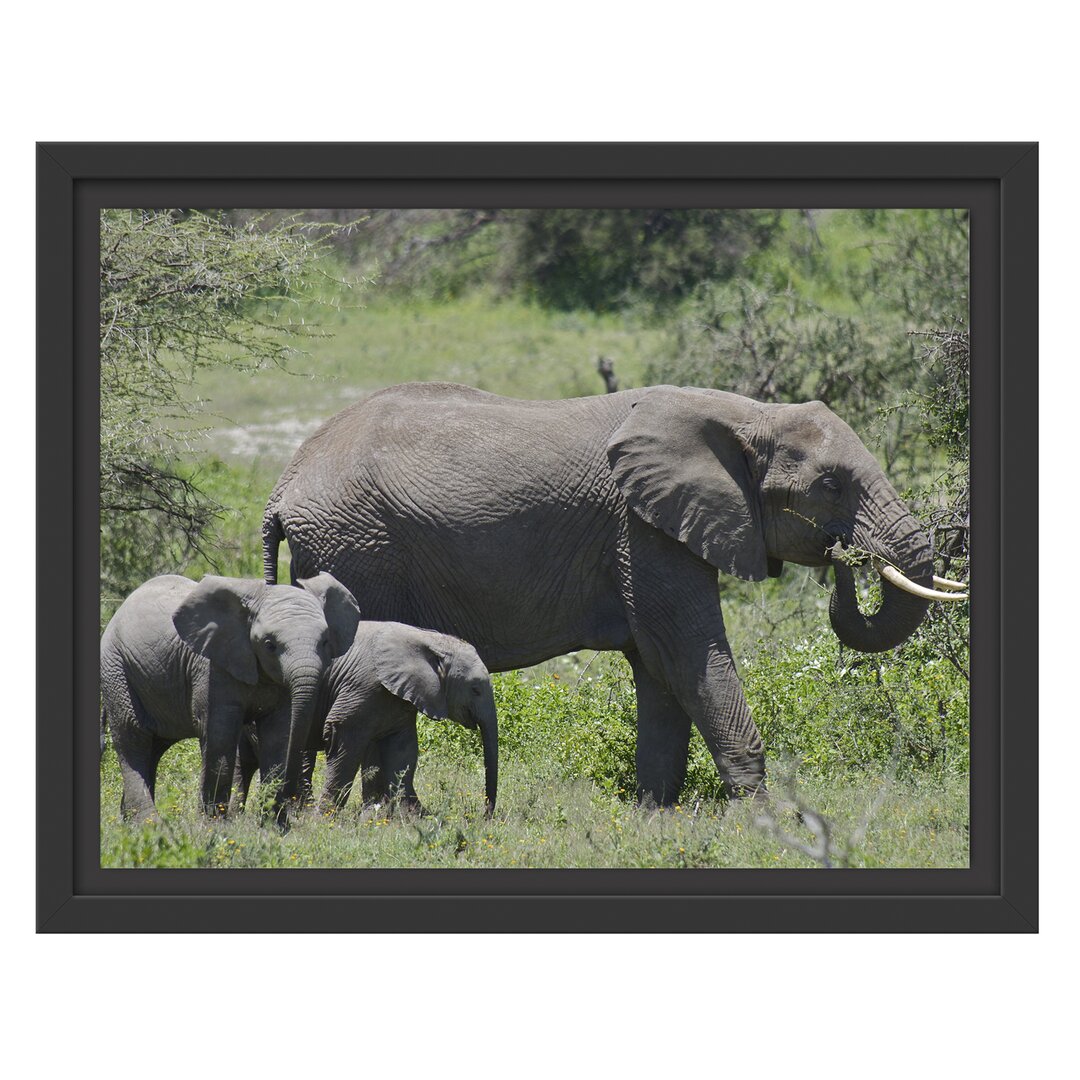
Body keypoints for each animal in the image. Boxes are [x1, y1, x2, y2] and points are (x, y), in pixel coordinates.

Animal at [99, 574, 358, 816]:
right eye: (269, 645)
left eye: (325, 642)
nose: (291, 805)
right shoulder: (211, 668)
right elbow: (220, 736)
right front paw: (213, 824)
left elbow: (278, 736)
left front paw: (274, 826)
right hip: (117, 670)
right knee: (134, 740)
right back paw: (149, 823)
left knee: (154, 747)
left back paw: (131, 824)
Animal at [240, 622, 496, 812]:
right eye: (475, 689)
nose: (486, 815)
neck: (427, 639)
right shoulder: (363, 687)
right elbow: (344, 744)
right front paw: (325, 820)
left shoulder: (399, 700)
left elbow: (402, 751)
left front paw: (413, 818)